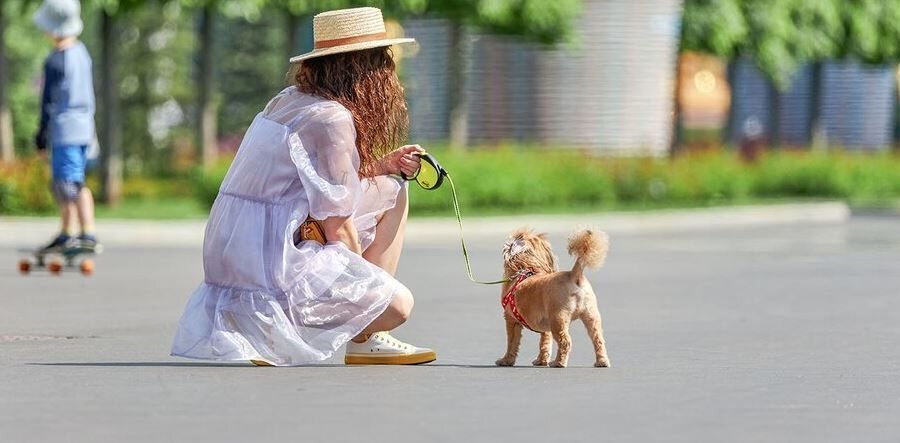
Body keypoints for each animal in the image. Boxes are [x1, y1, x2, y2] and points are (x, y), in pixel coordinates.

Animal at [492, 227, 612, 370]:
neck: (525, 268)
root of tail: (574, 274)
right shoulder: (545, 326)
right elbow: (544, 344)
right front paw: (541, 361)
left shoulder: (511, 321)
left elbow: (512, 343)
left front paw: (506, 360)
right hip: (591, 316)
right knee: (598, 340)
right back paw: (602, 362)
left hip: (558, 319)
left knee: (565, 342)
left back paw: (558, 362)